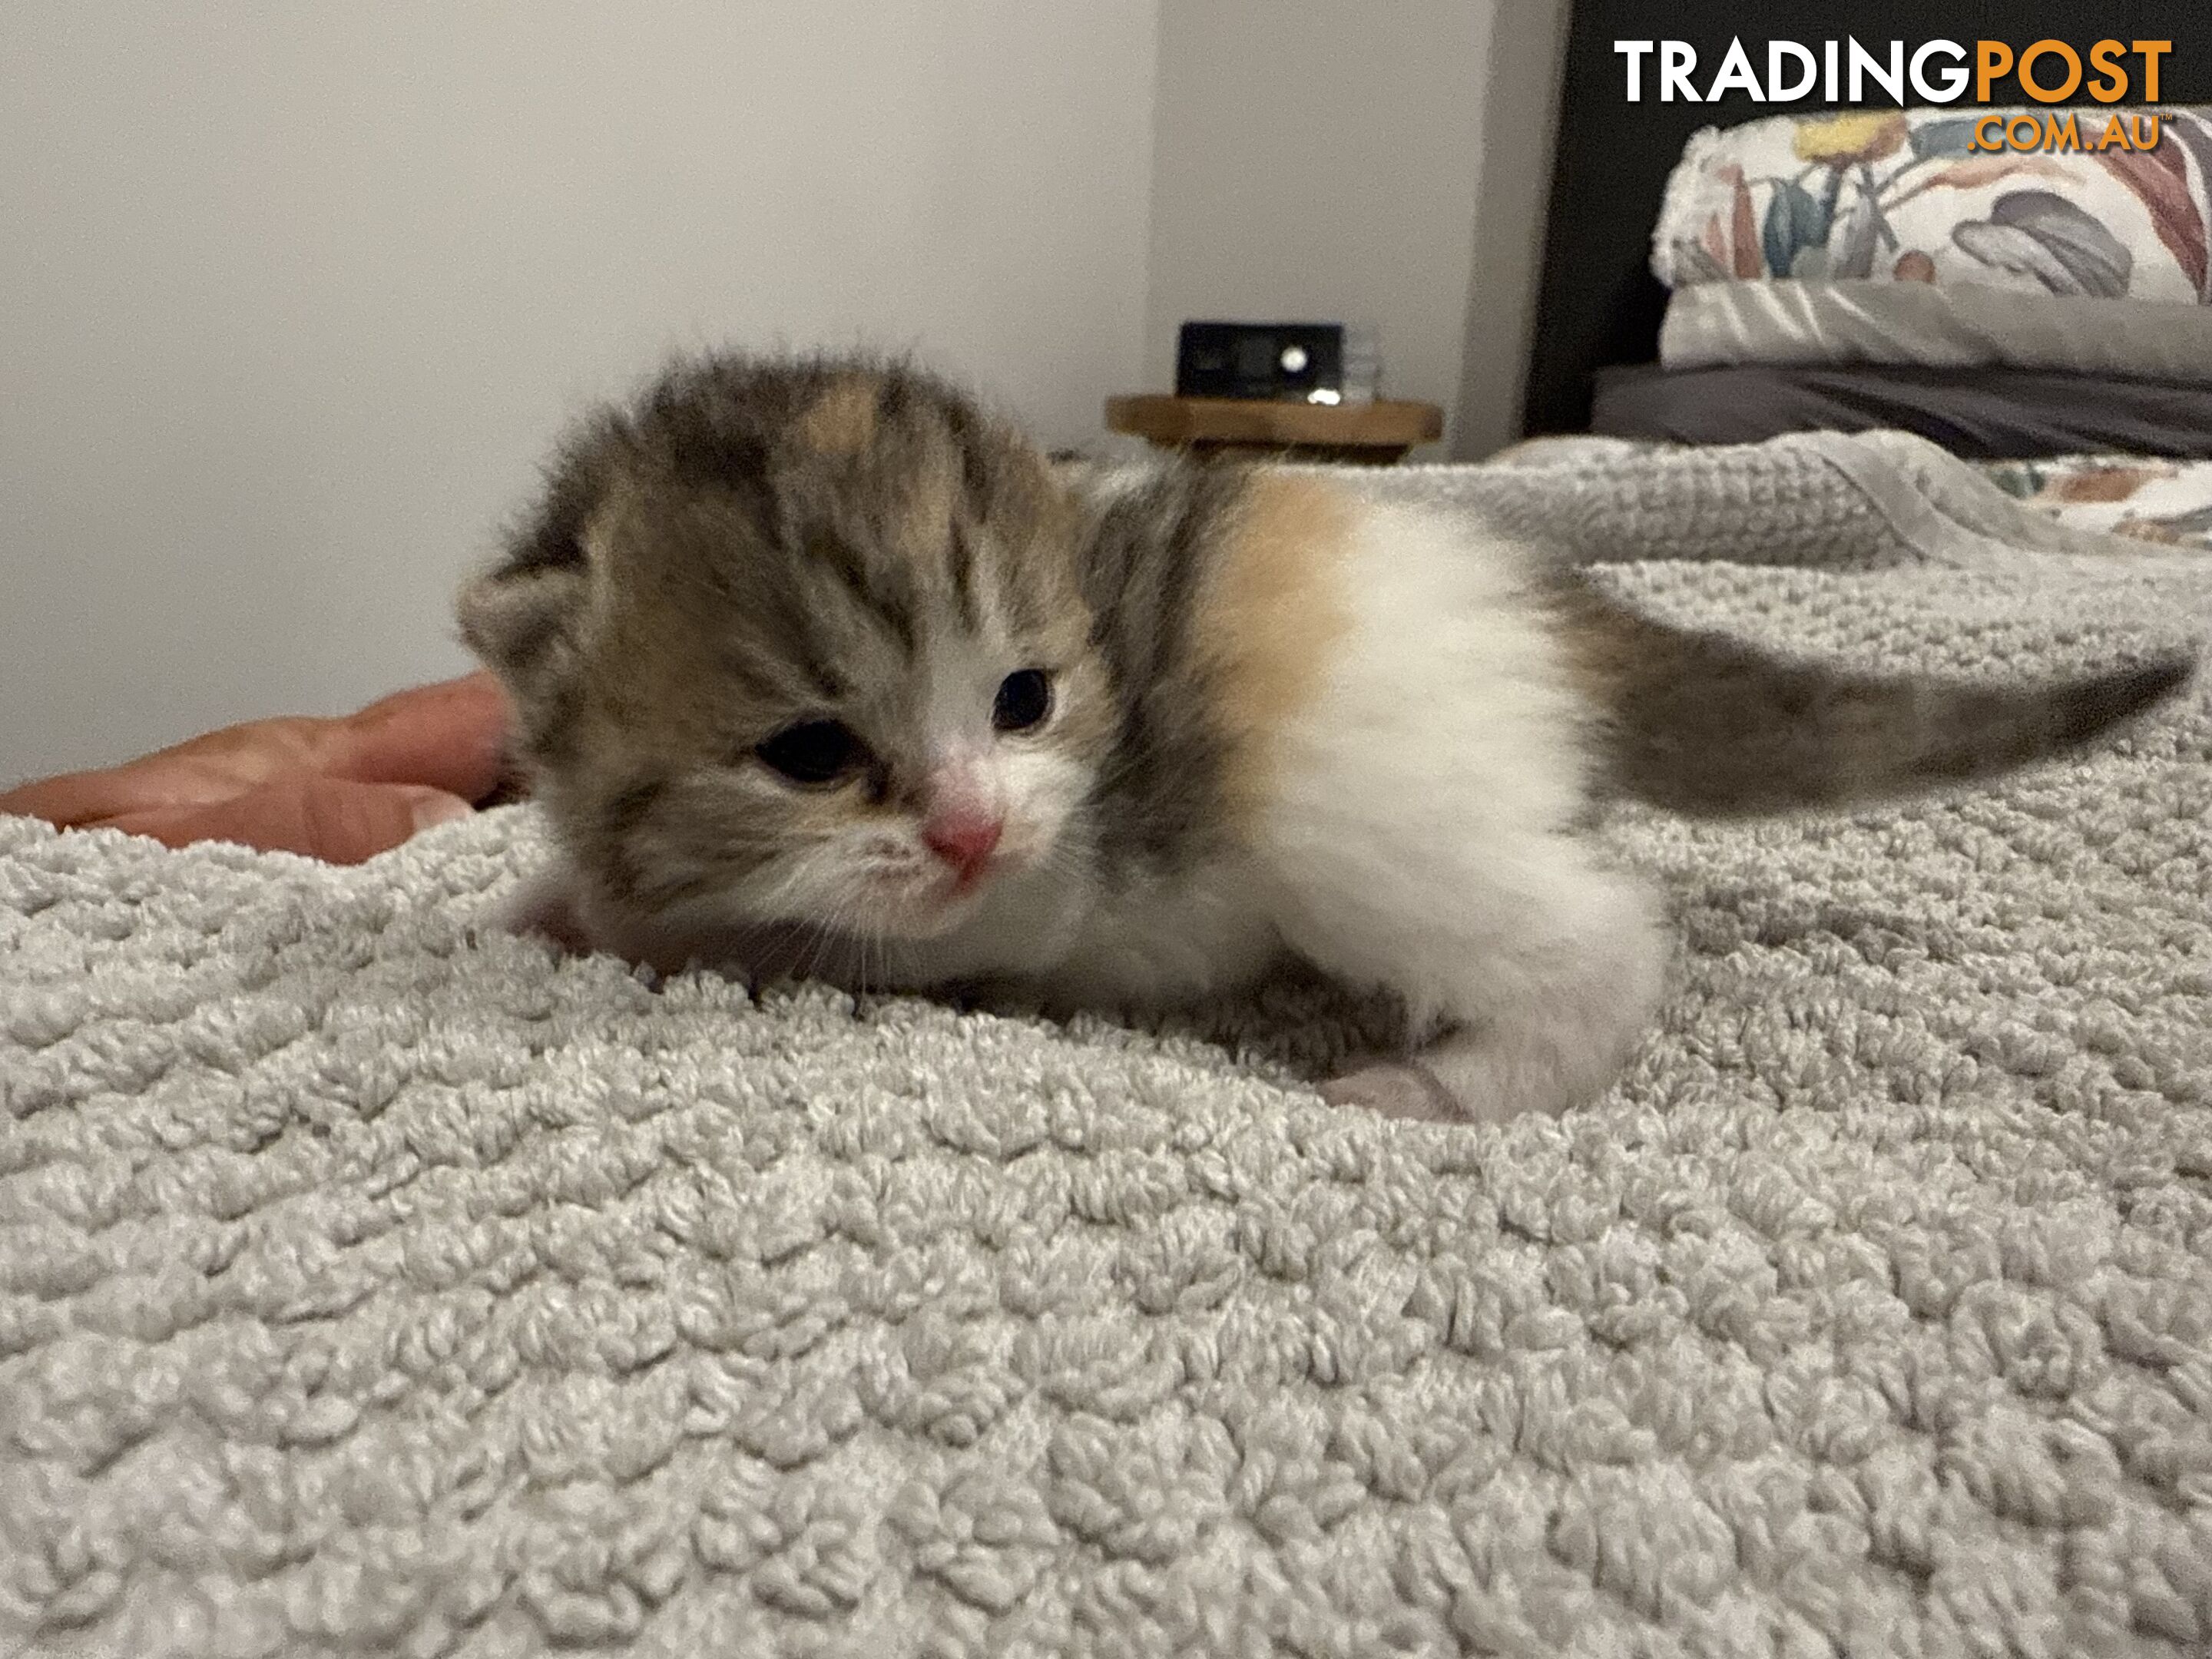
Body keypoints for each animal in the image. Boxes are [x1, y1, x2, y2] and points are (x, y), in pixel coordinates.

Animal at [458, 356, 2185, 1124]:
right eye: (810, 753)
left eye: (1025, 699)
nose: (966, 825)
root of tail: (1534, 596)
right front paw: (554, 900)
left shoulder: (1023, 892)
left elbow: (836, 942)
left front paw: (649, 933)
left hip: (1371, 825)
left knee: (1603, 942)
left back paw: (1447, 1086)